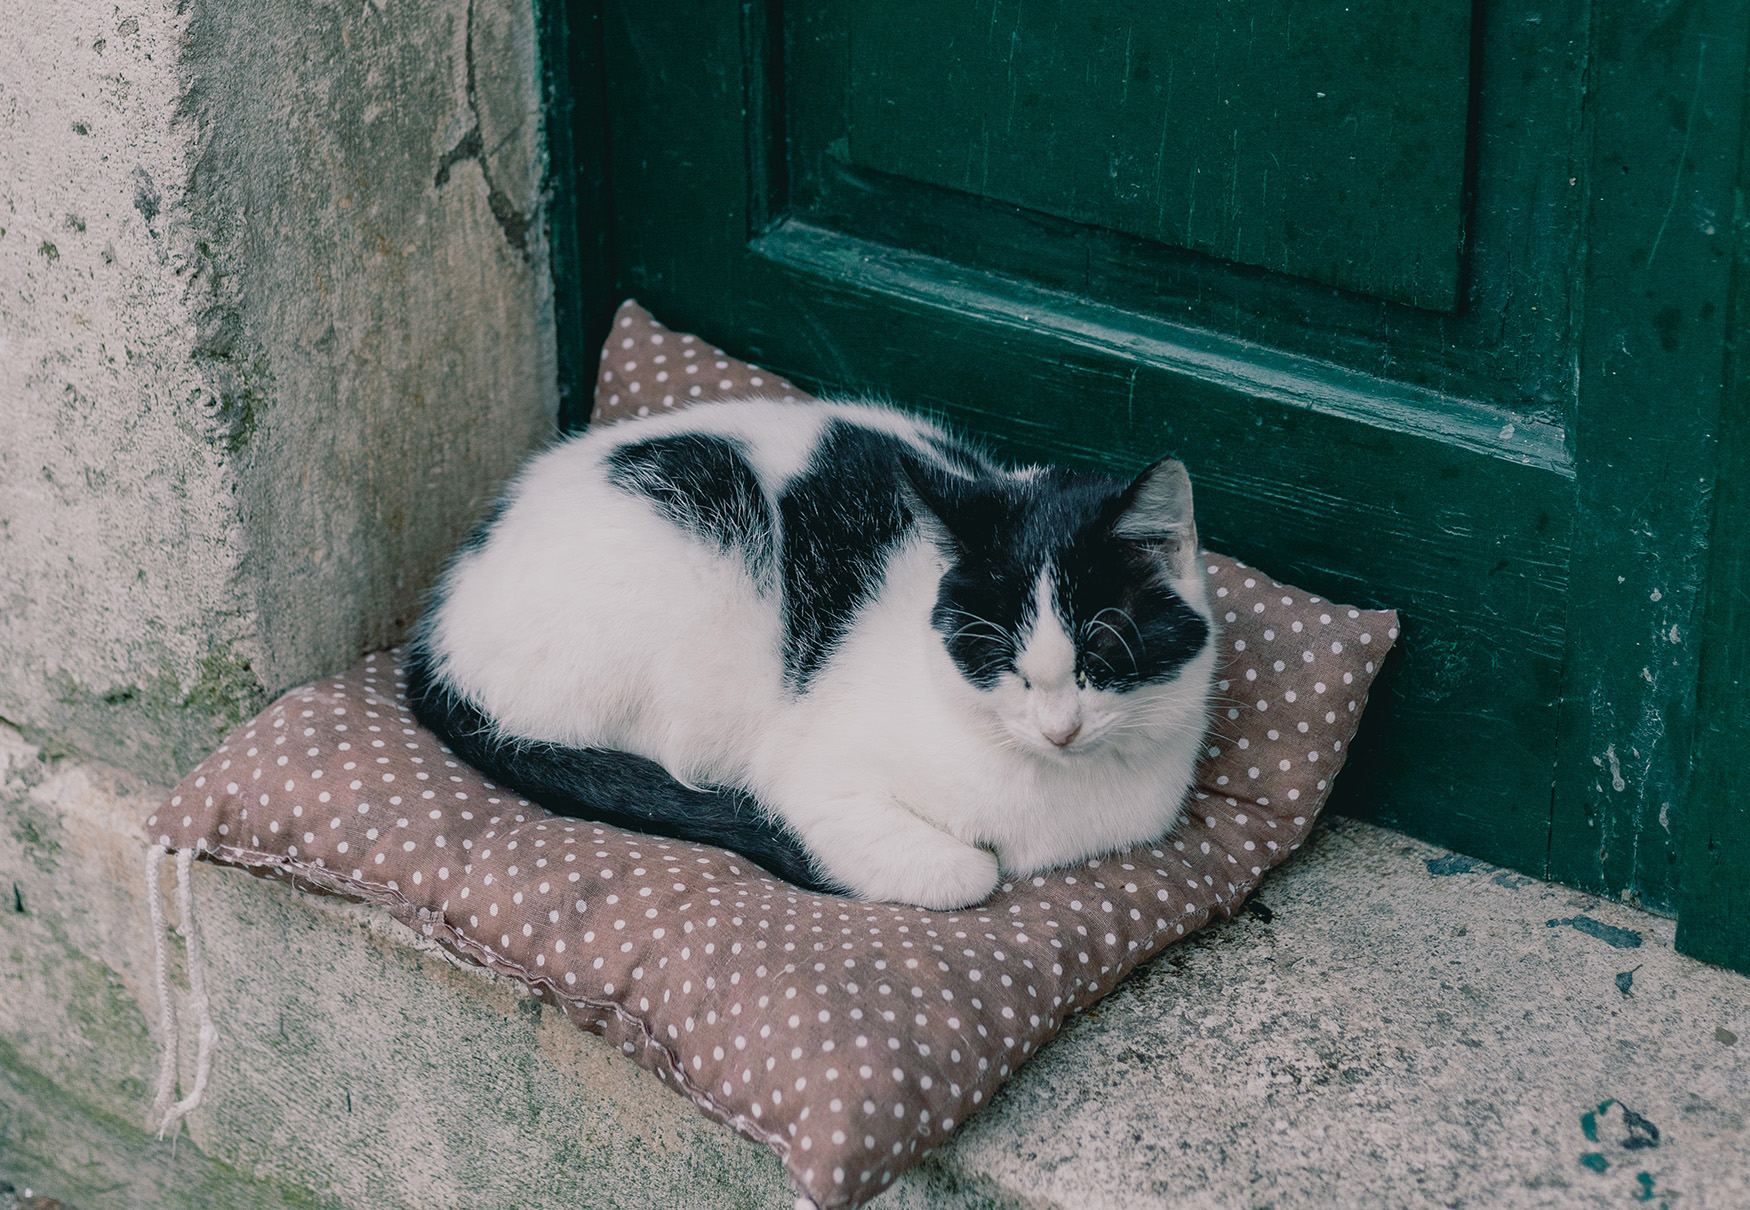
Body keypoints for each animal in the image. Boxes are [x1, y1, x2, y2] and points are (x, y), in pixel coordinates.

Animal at [406, 399, 1218, 910]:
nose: (1060, 728)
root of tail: (439, 621)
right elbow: (966, 873)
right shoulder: (815, 781)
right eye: (1000, 660)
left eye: (1103, 653)